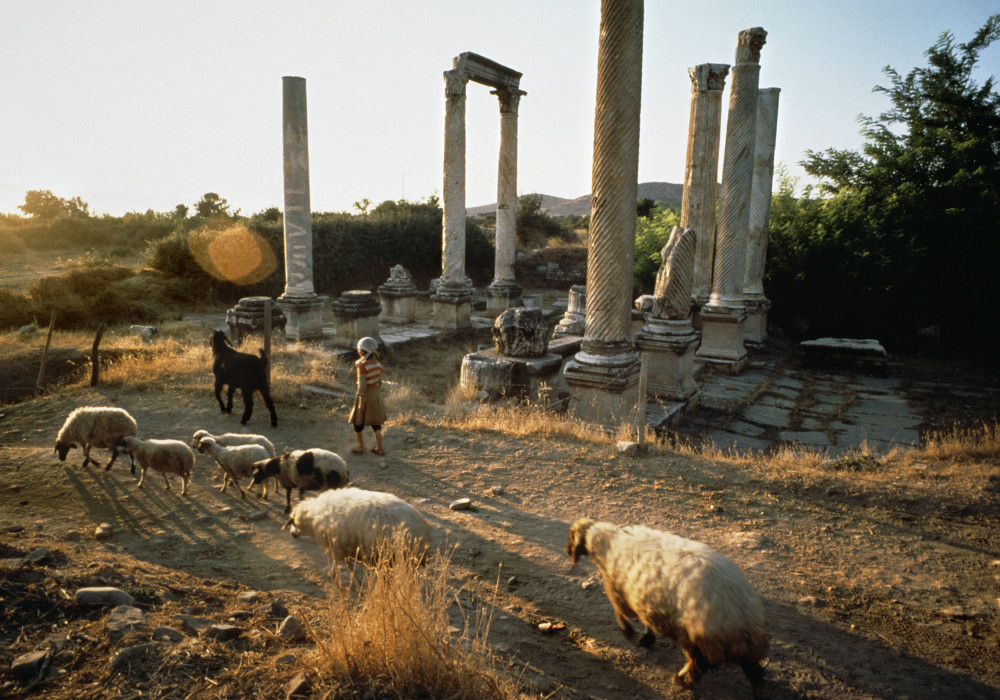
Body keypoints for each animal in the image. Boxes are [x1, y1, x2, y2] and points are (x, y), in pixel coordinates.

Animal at [568, 516, 768, 696]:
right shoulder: (645, 599)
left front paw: (630, 633)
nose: (568, 552)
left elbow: (621, 615)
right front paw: (646, 639)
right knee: (756, 674)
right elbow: (647, 622)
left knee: (699, 665)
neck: (609, 541)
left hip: (694, 638)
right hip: (736, 651)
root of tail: (743, 618)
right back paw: (759, 692)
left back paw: (681, 680)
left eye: (571, 537)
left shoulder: (620, 593)